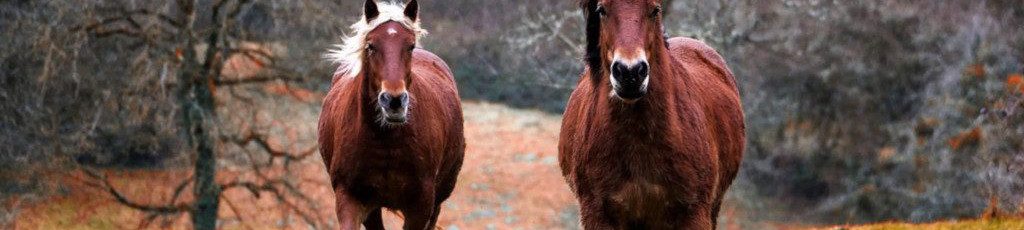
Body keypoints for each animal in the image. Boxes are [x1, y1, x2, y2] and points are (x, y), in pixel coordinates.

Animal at [317, 0, 466, 228]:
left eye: (410, 45)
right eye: (371, 46)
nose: (394, 101)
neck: (385, 140)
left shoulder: (421, 204)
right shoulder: (350, 198)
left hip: (438, 199)